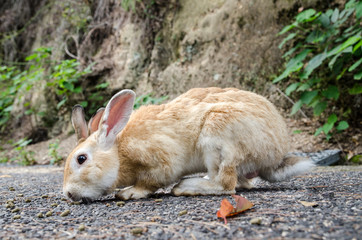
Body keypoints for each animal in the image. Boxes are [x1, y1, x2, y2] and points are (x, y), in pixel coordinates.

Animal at [62, 87, 314, 202]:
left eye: (81, 159)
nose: (69, 194)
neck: (119, 152)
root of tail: (276, 151)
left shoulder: (161, 162)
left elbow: (150, 182)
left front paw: (129, 193)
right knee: (242, 183)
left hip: (218, 137)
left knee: (226, 185)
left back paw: (186, 187)